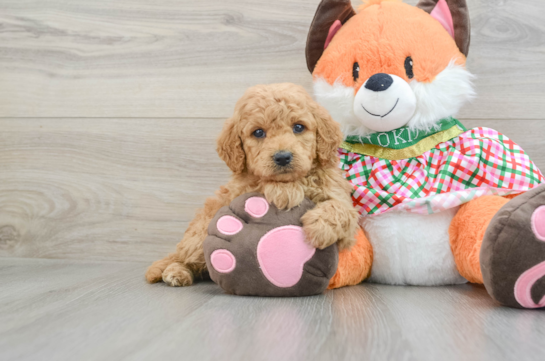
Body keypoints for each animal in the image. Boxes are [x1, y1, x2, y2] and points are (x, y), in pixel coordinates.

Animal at [146, 83, 356, 286]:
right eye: (258, 132)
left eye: (298, 127)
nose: (282, 157)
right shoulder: (242, 189)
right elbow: (262, 183)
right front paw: (285, 191)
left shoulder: (339, 199)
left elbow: (341, 210)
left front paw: (320, 229)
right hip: (201, 231)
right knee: (186, 257)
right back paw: (176, 272)